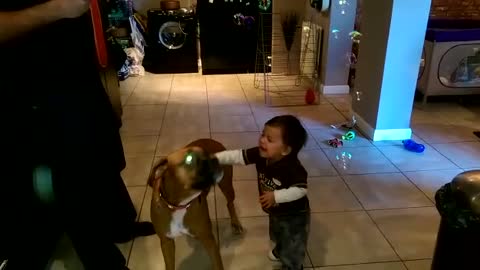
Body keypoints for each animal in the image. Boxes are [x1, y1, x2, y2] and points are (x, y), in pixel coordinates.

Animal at [147, 138, 244, 268]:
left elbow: (217, 263)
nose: (214, 158)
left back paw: (235, 223)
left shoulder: (208, 239)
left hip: (227, 185)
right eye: (189, 159)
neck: (179, 206)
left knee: (230, 203)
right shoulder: (166, 242)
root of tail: (213, 140)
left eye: (207, 154)